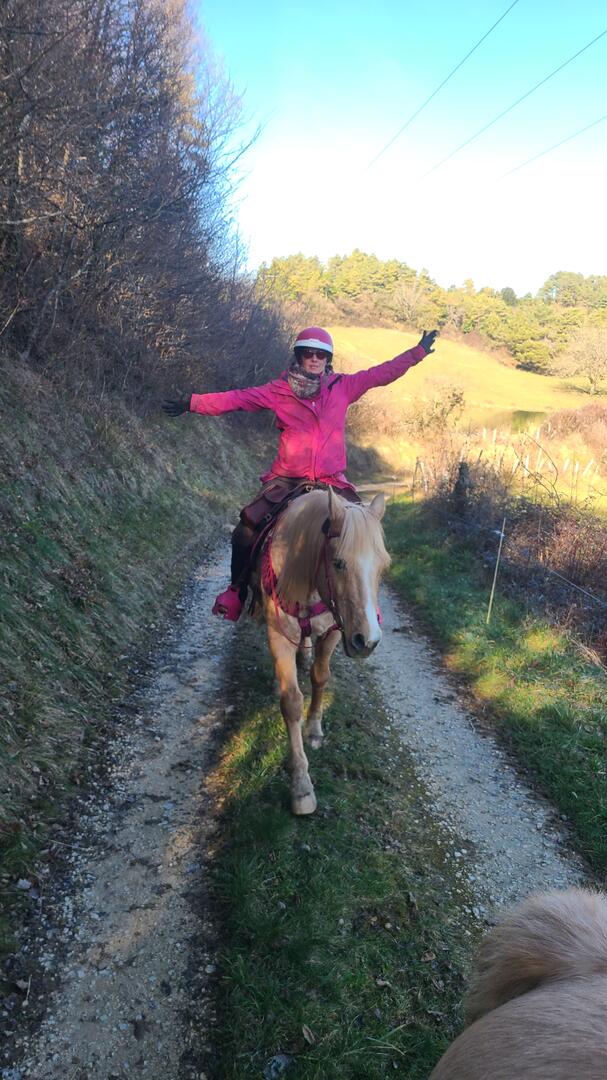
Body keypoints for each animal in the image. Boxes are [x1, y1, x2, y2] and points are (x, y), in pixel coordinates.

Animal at [254, 485, 390, 815]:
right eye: (339, 563)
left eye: (383, 567)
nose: (367, 641)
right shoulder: (278, 635)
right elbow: (291, 702)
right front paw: (301, 786)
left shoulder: (332, 632)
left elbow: (320, 677)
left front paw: (314, 729)